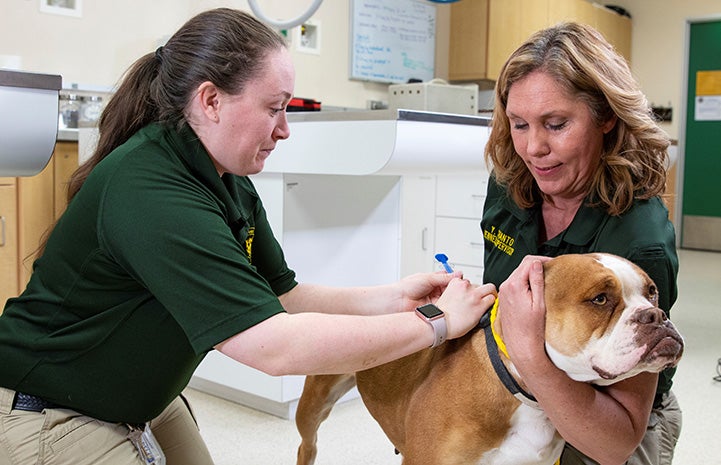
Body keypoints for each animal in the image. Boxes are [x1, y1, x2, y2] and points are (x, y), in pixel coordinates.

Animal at [296, 254, 684, 464]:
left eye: (653, 292)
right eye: (600, 299)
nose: (656, 315)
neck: (523, 391)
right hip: (315, 404)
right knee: (307, 442)